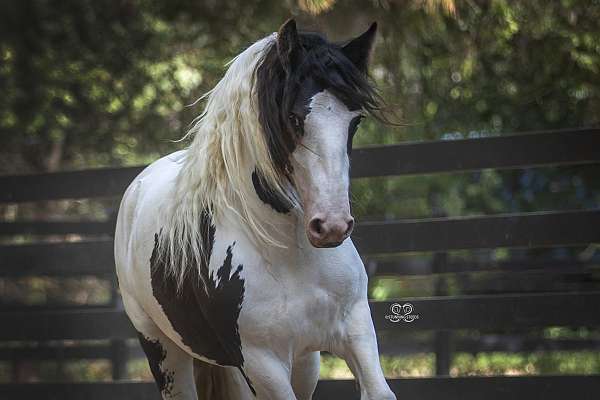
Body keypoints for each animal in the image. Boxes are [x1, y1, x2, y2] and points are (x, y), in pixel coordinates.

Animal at [115, 19, 396, 400]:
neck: (290, 252)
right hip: (164, 351)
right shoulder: (262, 363)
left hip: (300, 362)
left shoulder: (355, 330)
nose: (332, 227)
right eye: (293, 117)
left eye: (355, 121)